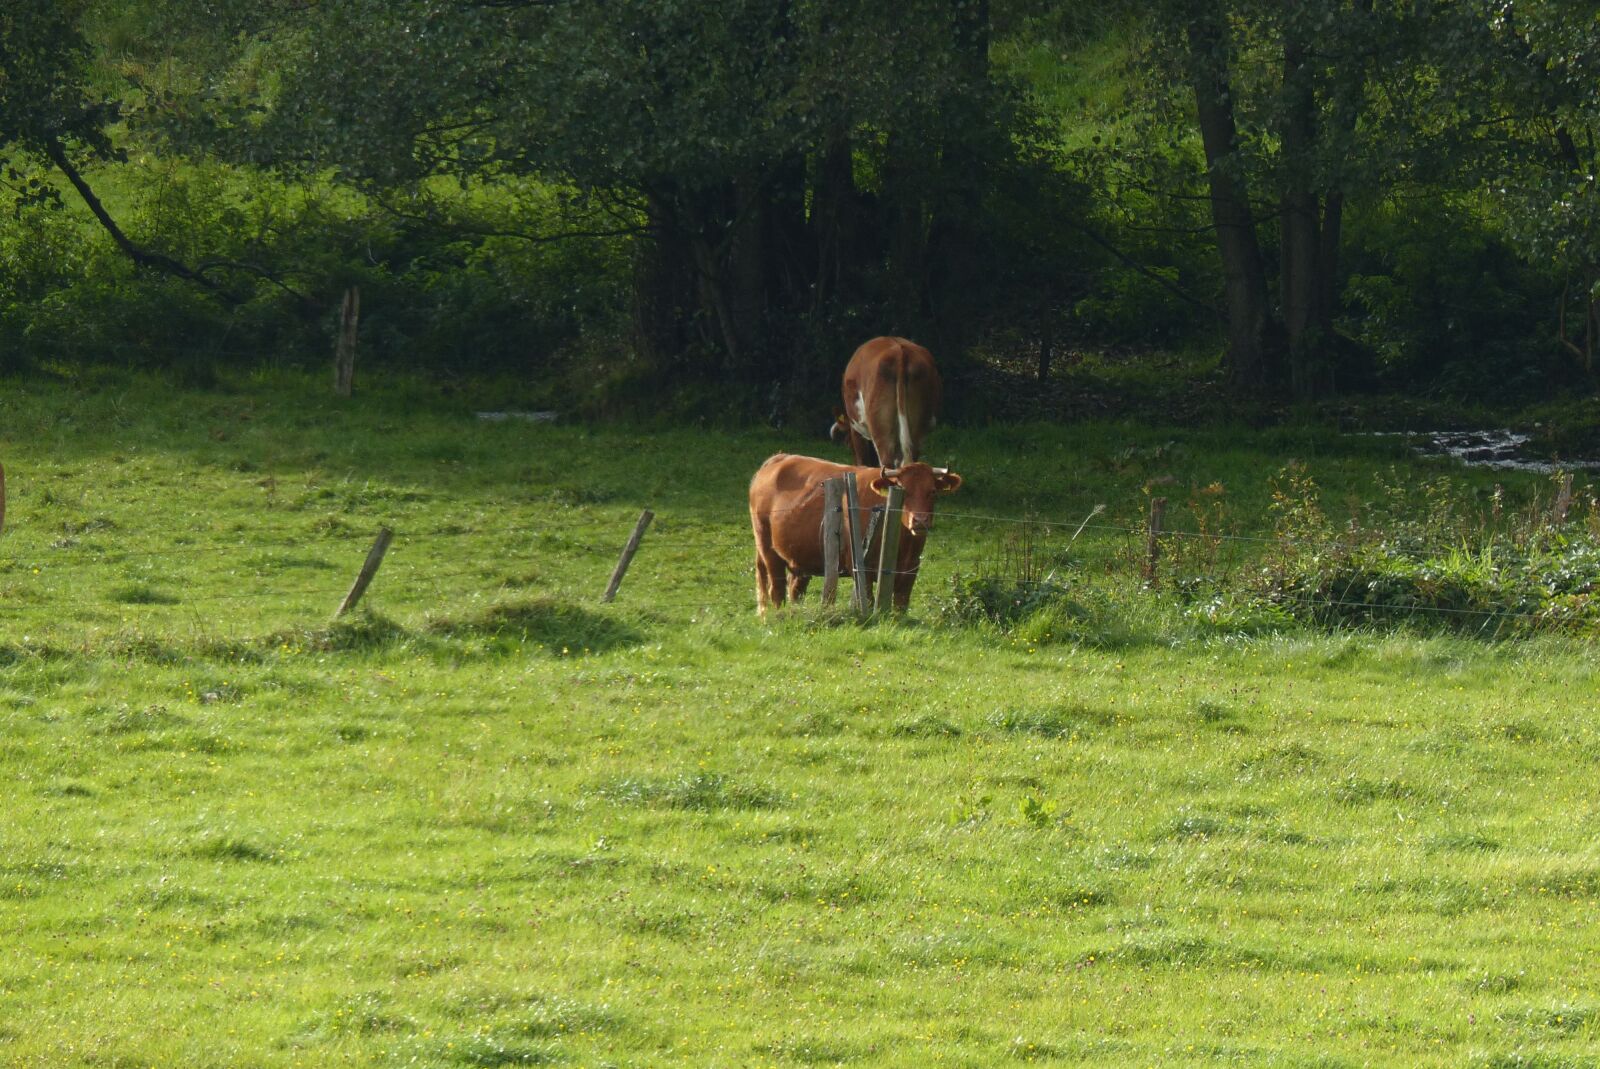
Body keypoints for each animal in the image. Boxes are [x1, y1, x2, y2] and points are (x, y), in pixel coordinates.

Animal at [748, 453, 962, 615]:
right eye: (903, 491)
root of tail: (778, 458)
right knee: (776, 590)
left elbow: (900, 607)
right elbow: (868, 601)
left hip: (801, 558)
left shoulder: (910, 572)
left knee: (795, 591)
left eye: (932, 491)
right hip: (767, 549)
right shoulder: (861, 567)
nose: (919, 521)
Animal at [829, 336, 942, 468]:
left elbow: (863, 461)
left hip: (880, 429)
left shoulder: (855, 430)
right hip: (918, 427)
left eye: (847, 443)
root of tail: (899, 352)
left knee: (886, 461)